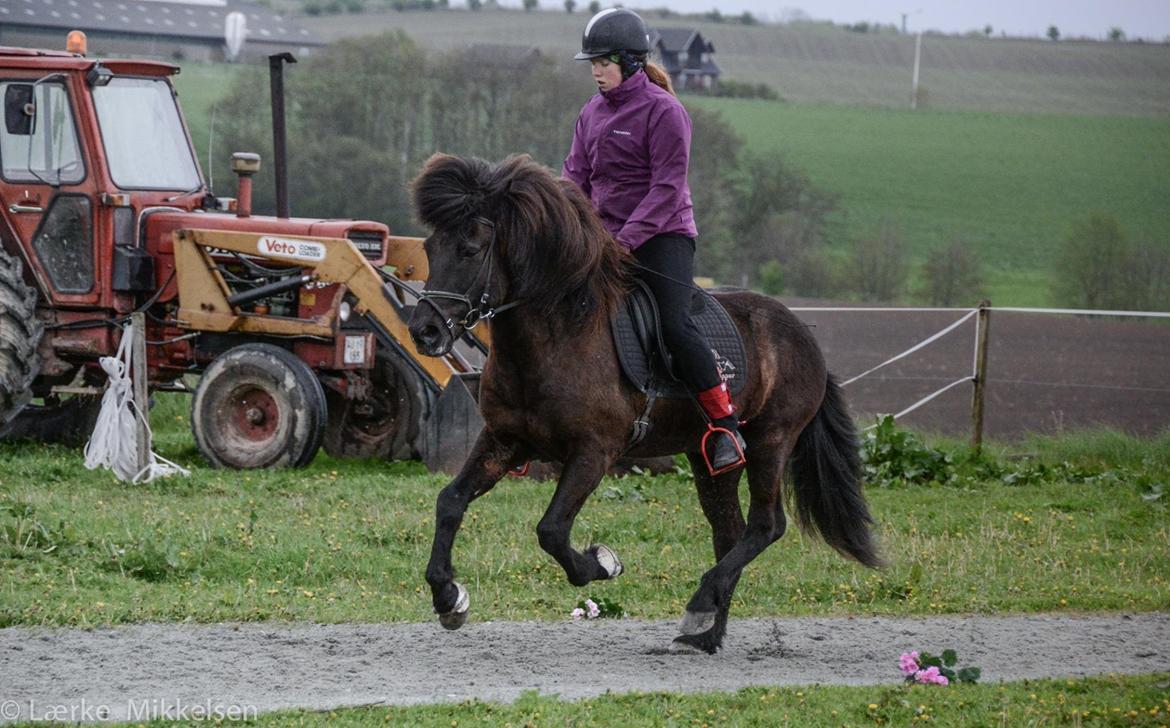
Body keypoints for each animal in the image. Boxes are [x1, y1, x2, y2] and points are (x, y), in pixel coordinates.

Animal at [404, 154, 879, 655]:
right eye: (431, 248)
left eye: (471, 249)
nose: (425, 333)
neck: (557, 338)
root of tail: (802, 333)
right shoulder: (504, 440)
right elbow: (450, 501)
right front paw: (449, 596)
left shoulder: (594, 452)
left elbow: (551, 530)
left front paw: (602, 562)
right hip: (708, 459)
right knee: (728, 532)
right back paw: (705, 630)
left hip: (772, 440)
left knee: (765, 526)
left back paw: (700, 605)